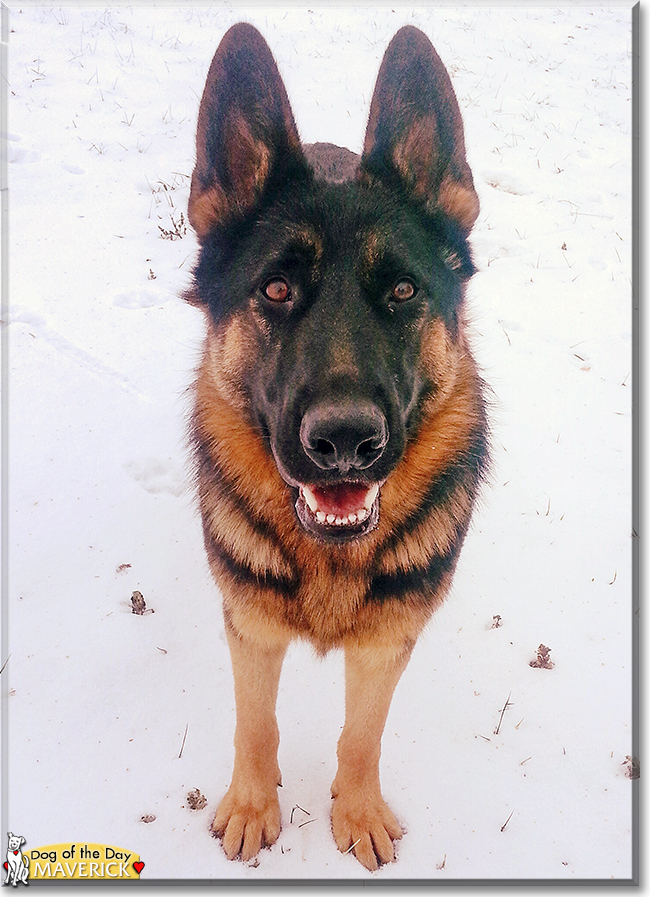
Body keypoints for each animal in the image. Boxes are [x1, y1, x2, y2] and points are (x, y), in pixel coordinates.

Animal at [185, 24, 484, 872]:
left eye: (404, 291)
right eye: (276, 290)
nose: (345, 440)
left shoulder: (387, 644)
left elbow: (362, 734)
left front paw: (357, 810)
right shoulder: (250, 627)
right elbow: (255, 723)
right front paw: (253, 804)